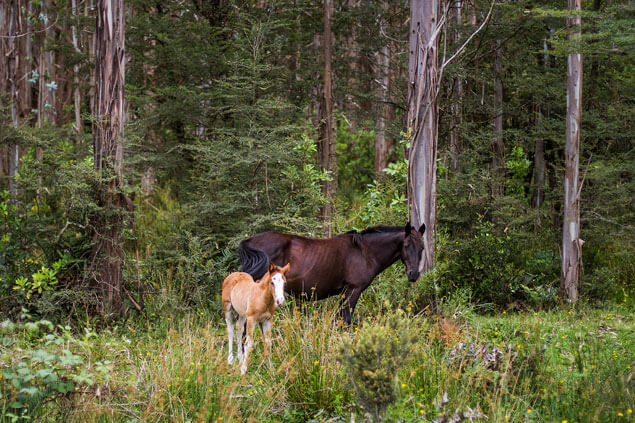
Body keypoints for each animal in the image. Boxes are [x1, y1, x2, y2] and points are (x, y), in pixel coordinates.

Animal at [236, 224, 424, 326]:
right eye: (406, 245)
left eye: (422, 247)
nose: (413, 274)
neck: (365, 251)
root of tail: (249, 241)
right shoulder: (353, 290)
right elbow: (345, 320)